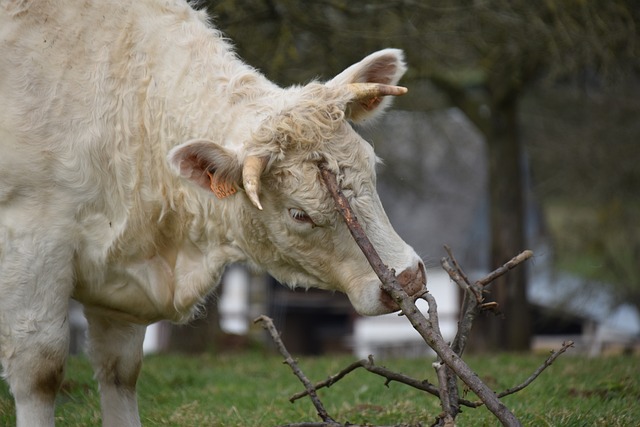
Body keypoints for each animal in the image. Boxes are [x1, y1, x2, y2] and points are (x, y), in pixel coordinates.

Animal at [2, 0, 428, 427]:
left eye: (372, 167)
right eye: (299, 214)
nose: (407, 280)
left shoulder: (120, 282)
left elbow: (120, 369)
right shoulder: (33, 242)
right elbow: (40, 369)